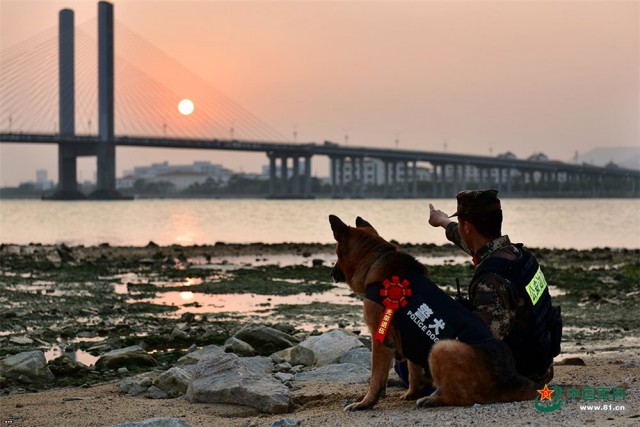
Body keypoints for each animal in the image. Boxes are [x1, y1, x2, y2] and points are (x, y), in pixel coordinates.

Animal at [328, 216, 536, 412]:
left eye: (336, 253)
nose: (331, 273)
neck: (375, 259)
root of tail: (507, 380)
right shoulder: (409, 338)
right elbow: (413, 369)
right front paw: (411, 392)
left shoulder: (381, 340)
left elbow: (376, 378)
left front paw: (366, 402)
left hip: (441, 347)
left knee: (462, 396)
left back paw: (433, 399)